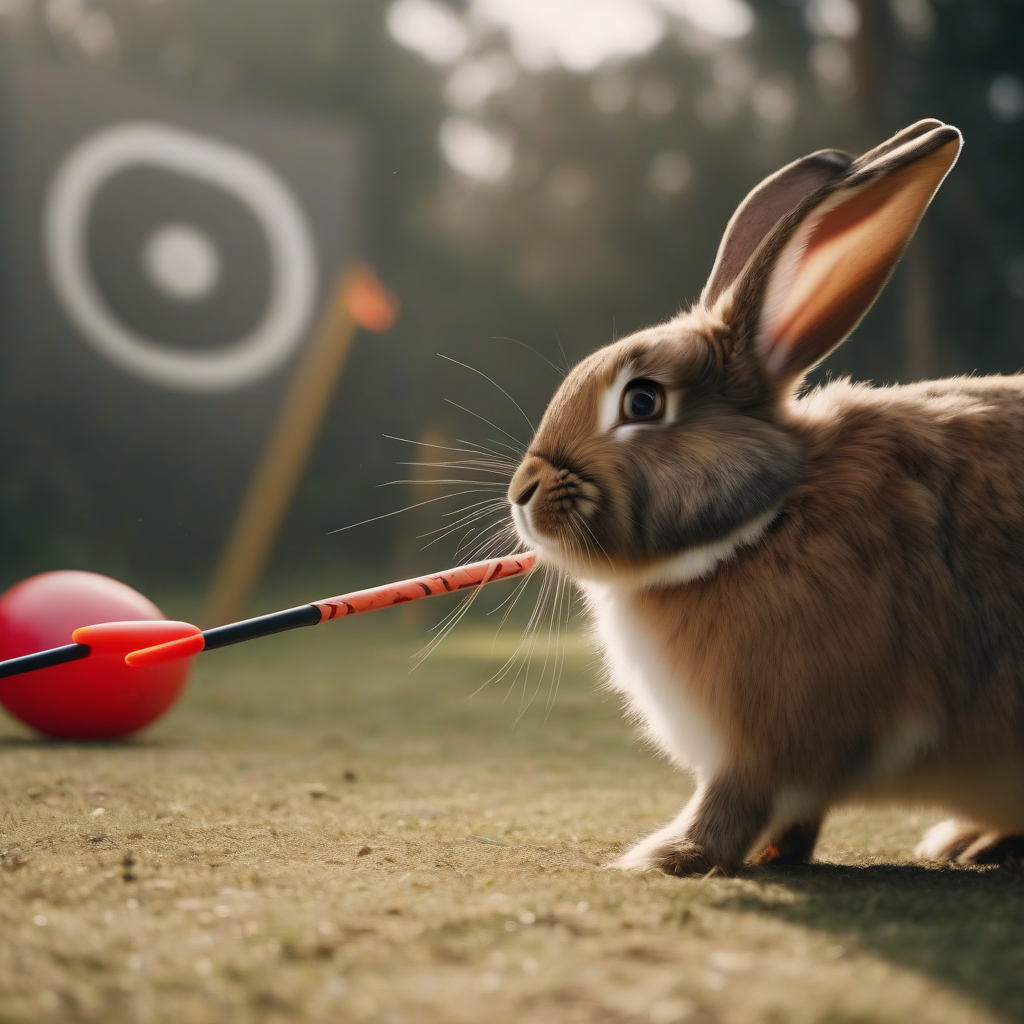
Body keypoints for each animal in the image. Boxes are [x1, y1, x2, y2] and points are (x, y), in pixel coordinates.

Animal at [507, 119, 1024, 876]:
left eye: (642, 400)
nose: (521, 492)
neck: (764, 519)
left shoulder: (770, 742)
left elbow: (734, 803)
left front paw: (665, 857)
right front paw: (777, 854)